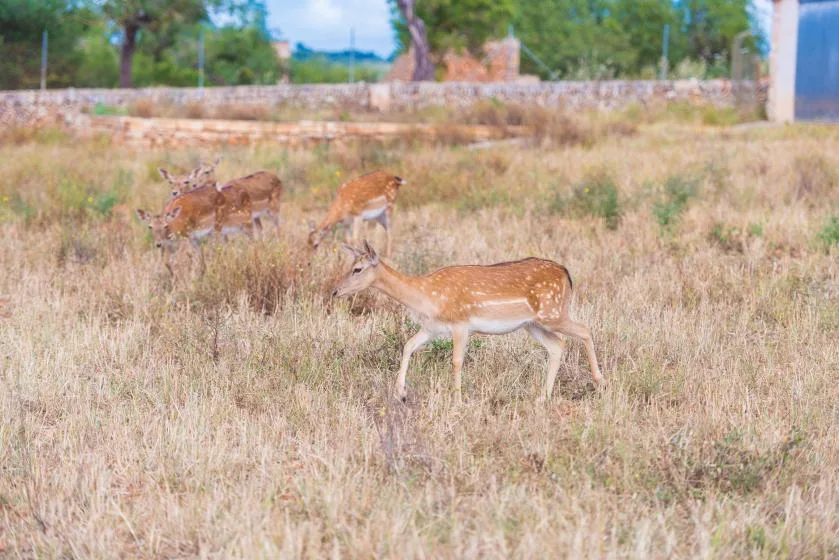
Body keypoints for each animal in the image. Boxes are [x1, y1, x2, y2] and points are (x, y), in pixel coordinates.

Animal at [333, 242, 603, 404]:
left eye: (357, 269)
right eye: (348, 265)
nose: (335, 291)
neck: (427, 298)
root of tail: (566, 274)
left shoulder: (461, 324)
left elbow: (456, 361)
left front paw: (457, 399)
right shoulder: (432, 328)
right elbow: (408, 345)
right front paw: (400, 392)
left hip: (552, 311)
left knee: (585, 329)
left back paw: (600, 382)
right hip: (533, 324)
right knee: (558, 345)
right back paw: (542, 397)